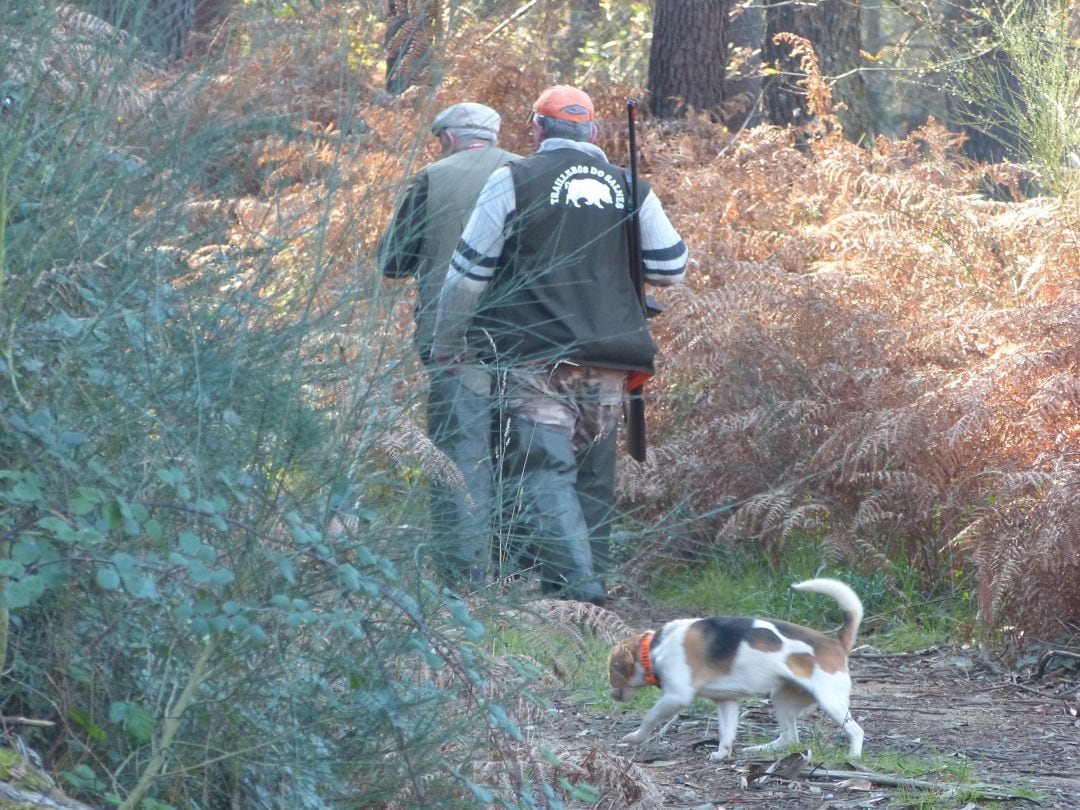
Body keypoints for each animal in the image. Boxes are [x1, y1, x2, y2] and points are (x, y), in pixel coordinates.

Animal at [609, 578, 859, 760]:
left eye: (613, 669)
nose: (611, 694)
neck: (654, 647)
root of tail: (836, 643)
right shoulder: (725, 702)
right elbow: (726, 732)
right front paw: (722, 753)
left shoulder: (676, 697)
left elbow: (649, 718)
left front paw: (634, 737)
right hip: (781, 699)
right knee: (790, 738)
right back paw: (760, 749)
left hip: (830, 702)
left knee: (856, 731)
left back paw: (854, 756)